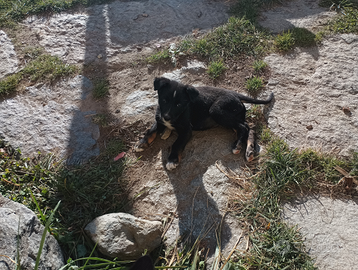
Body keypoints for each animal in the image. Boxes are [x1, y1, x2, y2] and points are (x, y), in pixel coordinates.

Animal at [135, 77, 274, 171]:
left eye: (179, 104)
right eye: (164, 100)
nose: (167, 117)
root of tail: (235, 94)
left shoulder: (186, 130)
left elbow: (176, 144)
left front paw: (172, 160)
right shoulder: (159, 118)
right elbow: (151, 130)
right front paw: (142, 142)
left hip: (216, 111)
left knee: (244, 127)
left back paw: (238, 146)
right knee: (249, 128)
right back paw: (249, 150)